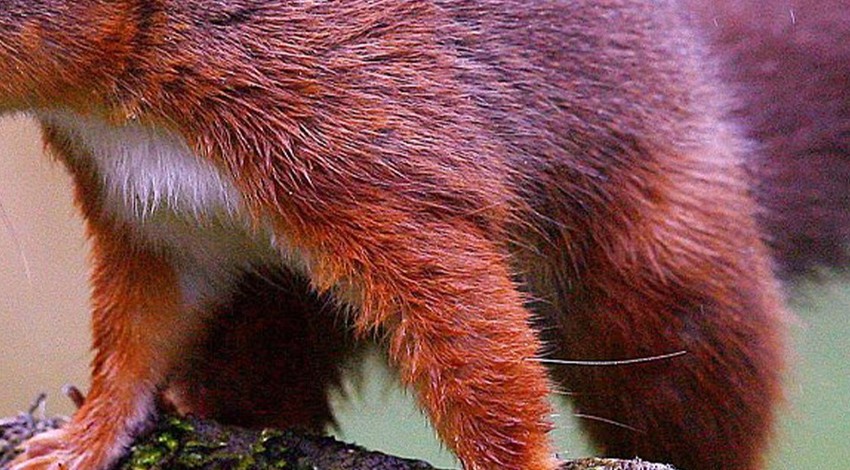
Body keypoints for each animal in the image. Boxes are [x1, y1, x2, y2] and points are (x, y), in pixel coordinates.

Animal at [0, 0, 800, 470]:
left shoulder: (363, 133)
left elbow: (473, 338)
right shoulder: (155, 218)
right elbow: (137, 337)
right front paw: (79, 440)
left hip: (661, 277)